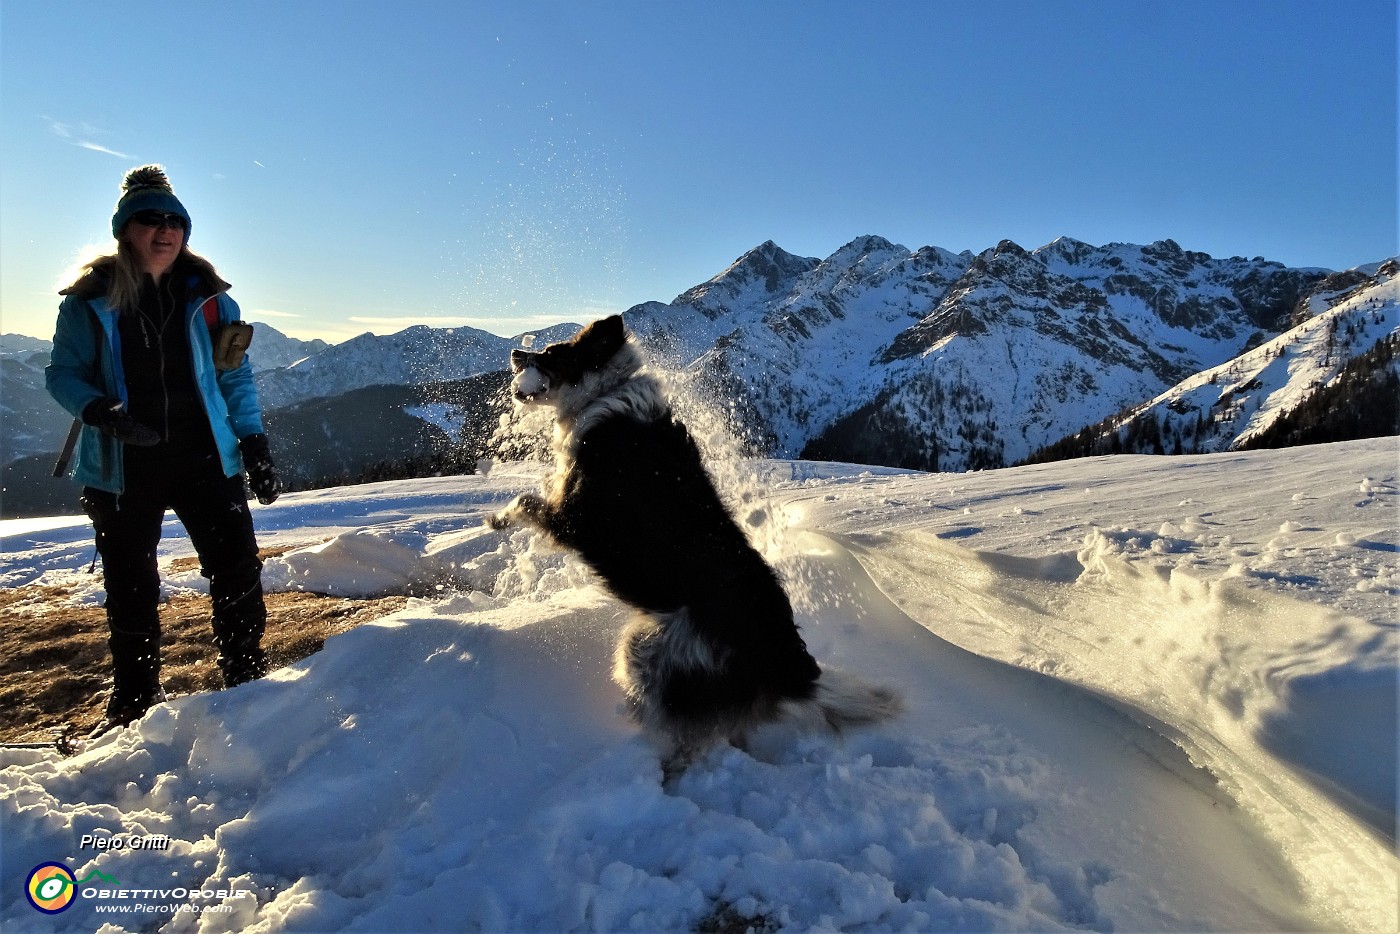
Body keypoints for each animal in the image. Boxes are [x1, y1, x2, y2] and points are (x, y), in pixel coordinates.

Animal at [487, 313, 901, 772]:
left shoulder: (576, 519)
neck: (607, 396)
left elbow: (526, 500)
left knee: (681, 734)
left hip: (648, 650)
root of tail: (788, 662)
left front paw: (496, 519)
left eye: (550, 353)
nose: (515, 352)